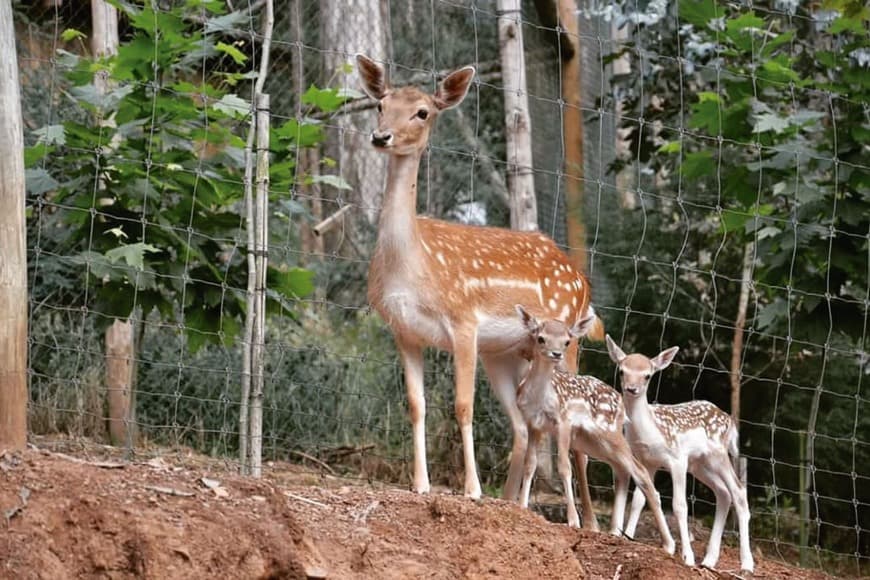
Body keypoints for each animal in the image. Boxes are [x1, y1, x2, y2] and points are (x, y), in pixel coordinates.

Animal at [358, 54, 604, 498]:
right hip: (507, 353)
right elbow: (416, 405)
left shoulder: (463, 321)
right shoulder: (403, 331)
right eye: (381, 104)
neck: (412, 268)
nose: (382, 137)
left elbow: (463, 405)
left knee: (575, 432)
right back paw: (510, 501)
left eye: (423, 111)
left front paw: (471, 490)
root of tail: (582, 281)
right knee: (522, 424)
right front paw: (421, 484)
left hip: (567, 343)